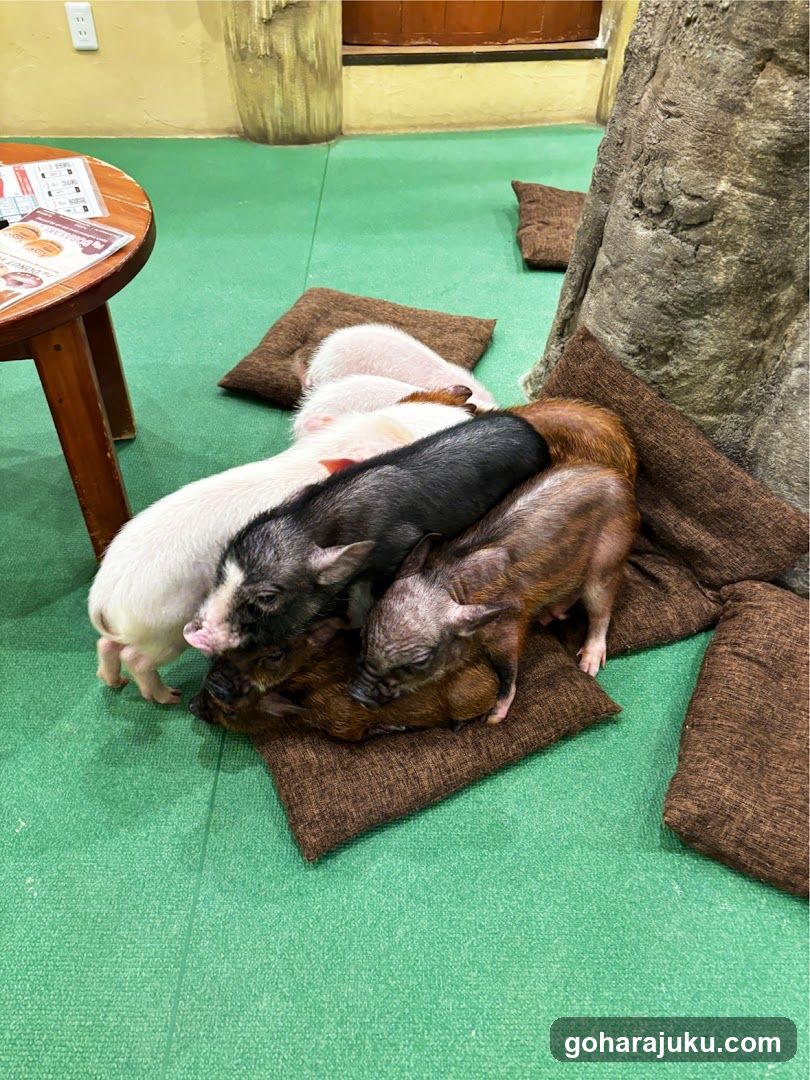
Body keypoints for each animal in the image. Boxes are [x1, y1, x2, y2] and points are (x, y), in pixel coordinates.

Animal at [88, 398, 474, 704]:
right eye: (405, 443)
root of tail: (102, 595)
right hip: (166, 628)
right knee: (137, 658)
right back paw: (168, 697)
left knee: (108, 646)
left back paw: (112, 682)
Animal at [184, 413, 550, 657]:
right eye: (220, 573)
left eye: (267, 598)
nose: (192, 634)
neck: (313, 523)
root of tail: (535, 433)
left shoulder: (398, 552)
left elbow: (364, 604)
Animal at [350, 464, 639, 725]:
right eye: (362, 635)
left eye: (420, 661)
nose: (356, 695)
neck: (450, 586)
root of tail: (621, 482)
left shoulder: (508, 629)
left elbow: (508, 669)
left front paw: (493, 718)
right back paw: (549, 616)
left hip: (607, 556)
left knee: (601, 609)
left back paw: (588, 665)